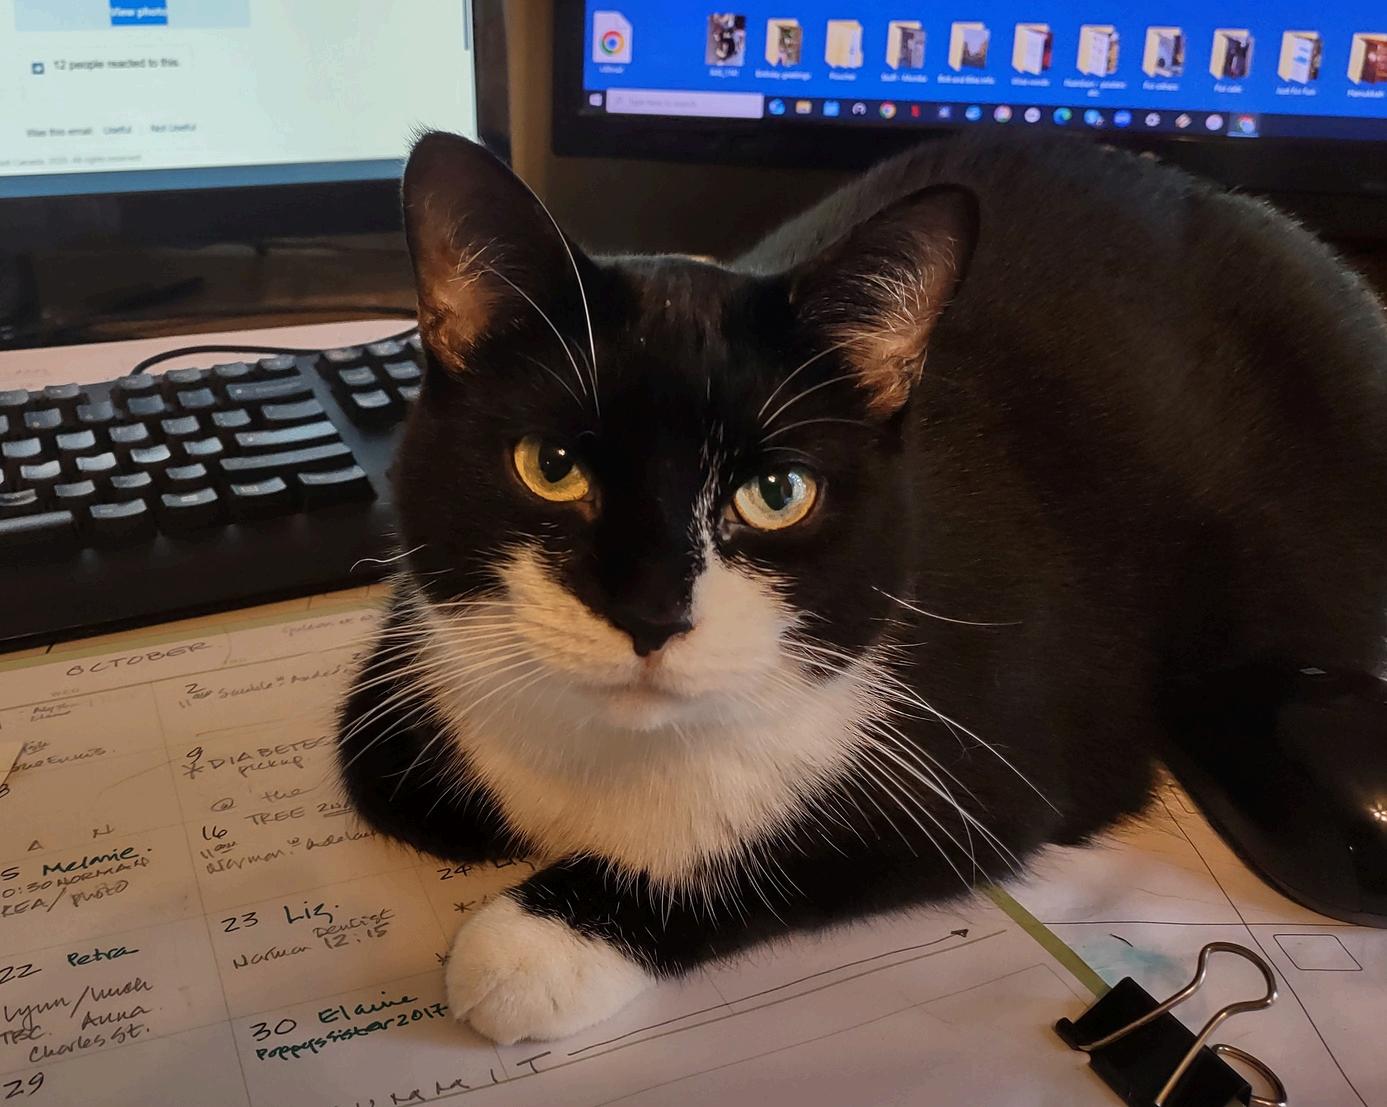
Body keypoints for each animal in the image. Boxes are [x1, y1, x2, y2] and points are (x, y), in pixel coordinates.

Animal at [337, 131, 1387, 1045]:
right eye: (551, 467)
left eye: (778, 493)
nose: (650, 611)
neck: (613, 755)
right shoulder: (414, 646)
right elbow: (382, 773)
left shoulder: (985, 748)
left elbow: (782, 848)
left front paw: (534, 942)